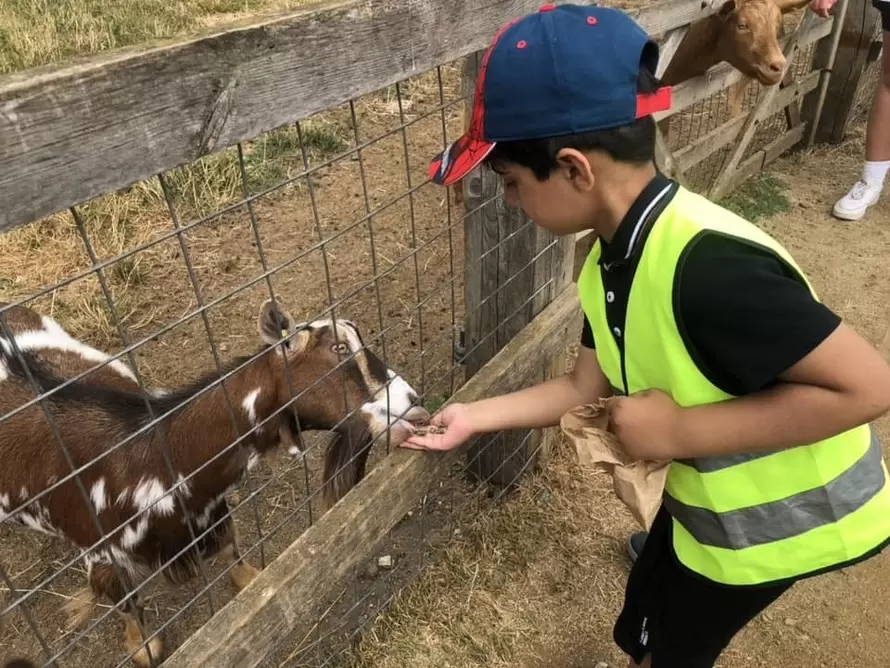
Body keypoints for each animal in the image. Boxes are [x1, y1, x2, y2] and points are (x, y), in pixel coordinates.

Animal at [0, 298, 426, 668]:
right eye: (338, 348)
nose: (414, 403)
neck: (147, 457)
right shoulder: (102, 552)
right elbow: (125, 599)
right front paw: (143, 647)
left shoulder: (209, 512)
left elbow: (231, 546)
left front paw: (252, 583)